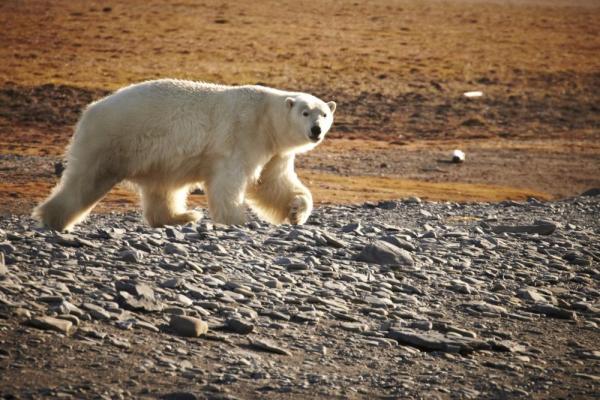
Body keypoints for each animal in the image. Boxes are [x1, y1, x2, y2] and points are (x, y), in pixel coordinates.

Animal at [34, 79, 338, 230]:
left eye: (324, 113)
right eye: (305, 112)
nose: (316, 130)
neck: (267, 117)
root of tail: (91, 109)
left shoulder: (274, 150)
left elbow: (274, 183)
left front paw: (297, 211)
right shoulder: (243, 133)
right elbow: (230, 180)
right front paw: (238, 220)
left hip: (152, 157)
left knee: (162, 190)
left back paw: (183, 216)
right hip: (113, 138)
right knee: (87, 179)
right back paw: (54, 218)